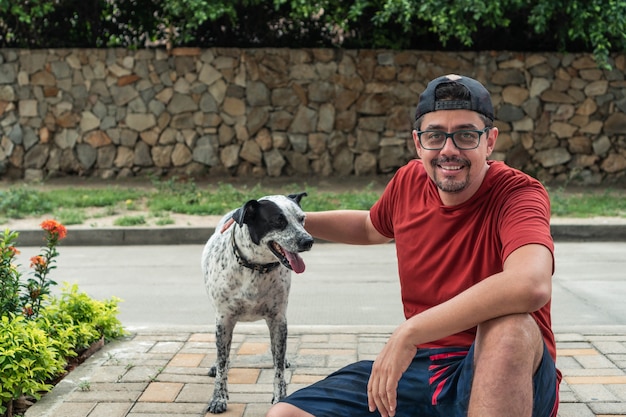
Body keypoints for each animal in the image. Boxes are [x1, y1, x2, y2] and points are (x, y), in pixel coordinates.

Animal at [200, 192, 312, 412]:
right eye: (279, 221)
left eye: (302, 219)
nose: (308, 240)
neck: (256, 268)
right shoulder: (224, 320)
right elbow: (223, 362)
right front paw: (218, 397)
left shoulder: (278, 319)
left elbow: (278, 367)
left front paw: (280, 396)